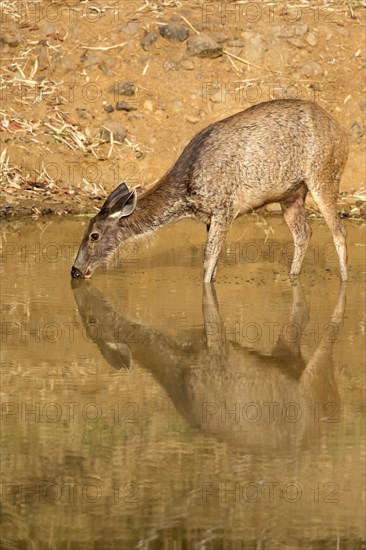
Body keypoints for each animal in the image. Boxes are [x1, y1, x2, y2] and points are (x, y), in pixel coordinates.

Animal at [70, 100, 348, 284]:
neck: (186, 196)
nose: (75, 270)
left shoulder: (225, 208)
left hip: (324, 175)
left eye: (94, 235)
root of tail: (341, 133)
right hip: (290, 194)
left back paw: (345, 280)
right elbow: (212, 266)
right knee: (304, 232)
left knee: (338, 231)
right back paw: (292, 275)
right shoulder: (209, 217)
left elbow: (207, 262)